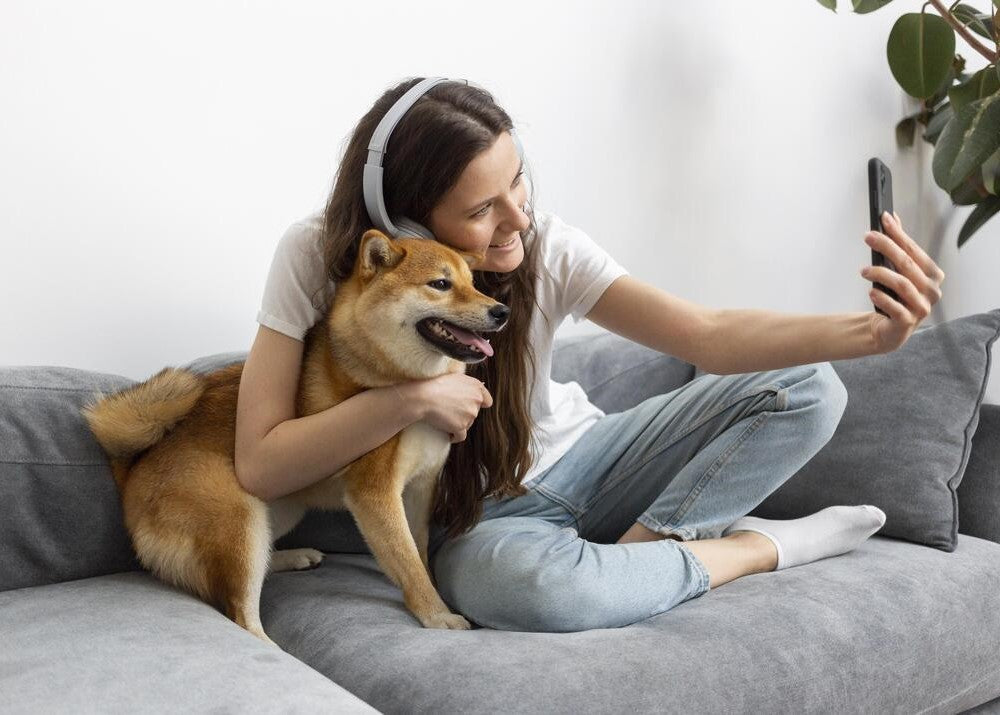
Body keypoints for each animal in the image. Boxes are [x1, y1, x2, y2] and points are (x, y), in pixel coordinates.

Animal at [80, 232, 508, 648]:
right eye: (440, 284)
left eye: (473, 284)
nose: (501, 311)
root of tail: (133, 470)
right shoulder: (374, 492)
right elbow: (407, 561)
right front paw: (437, 615)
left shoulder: (420, 489)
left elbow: (418, 551)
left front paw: (433, 596)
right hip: (240, 519)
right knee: (241, 609)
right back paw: (268, 646)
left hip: (283, 509)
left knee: (261, 561)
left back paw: (290, 557)